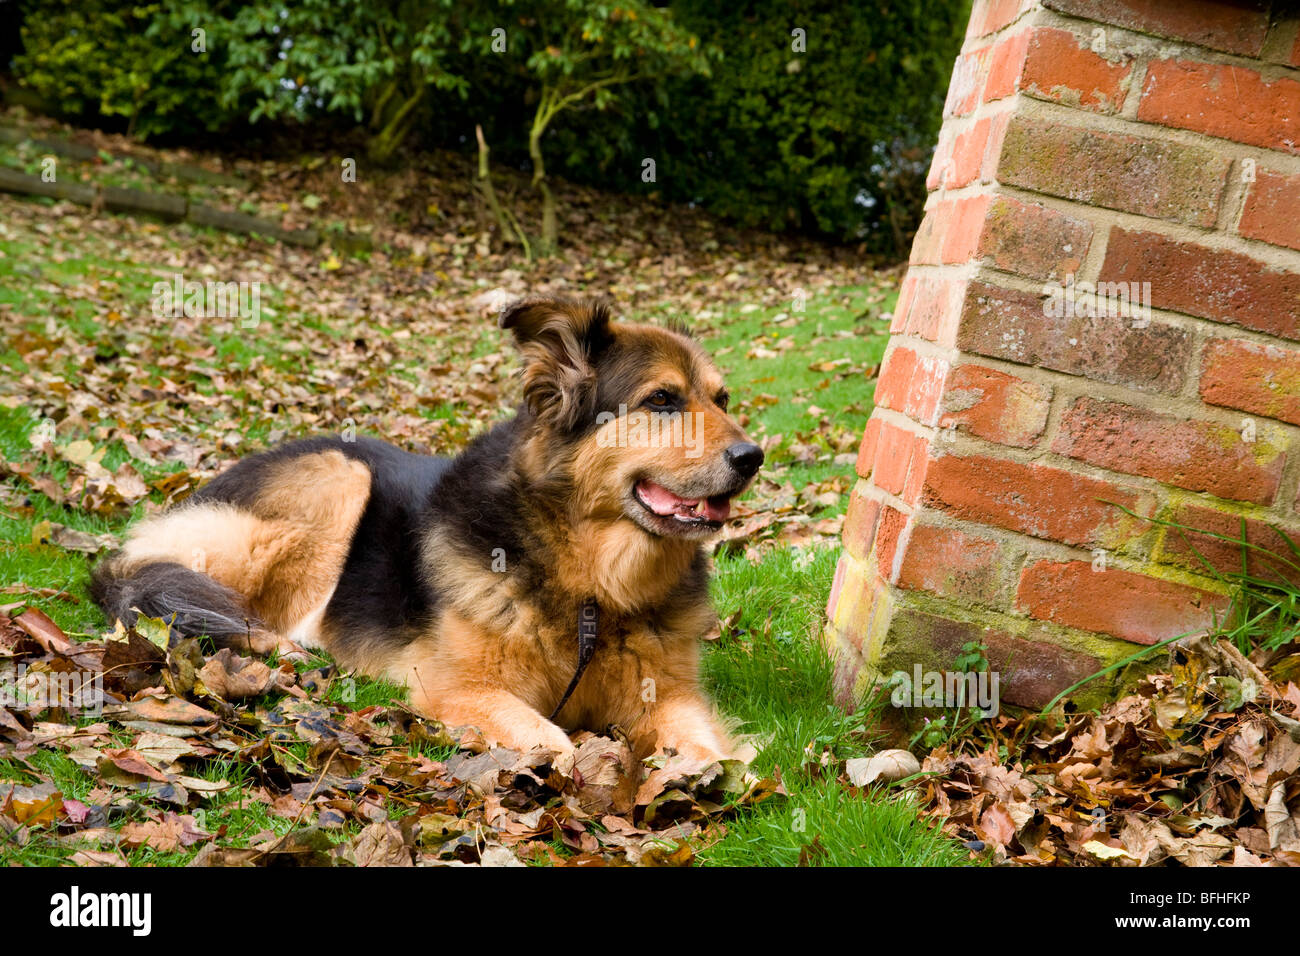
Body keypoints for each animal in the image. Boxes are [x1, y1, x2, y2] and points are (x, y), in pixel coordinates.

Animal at [94, 299, 759, 770]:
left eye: (722, 399)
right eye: (662, 400)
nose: (753, 457)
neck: (589, 584)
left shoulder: (669, 695)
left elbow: (709, 747)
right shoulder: (459, 689)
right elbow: (554, 743)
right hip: (339, 478)